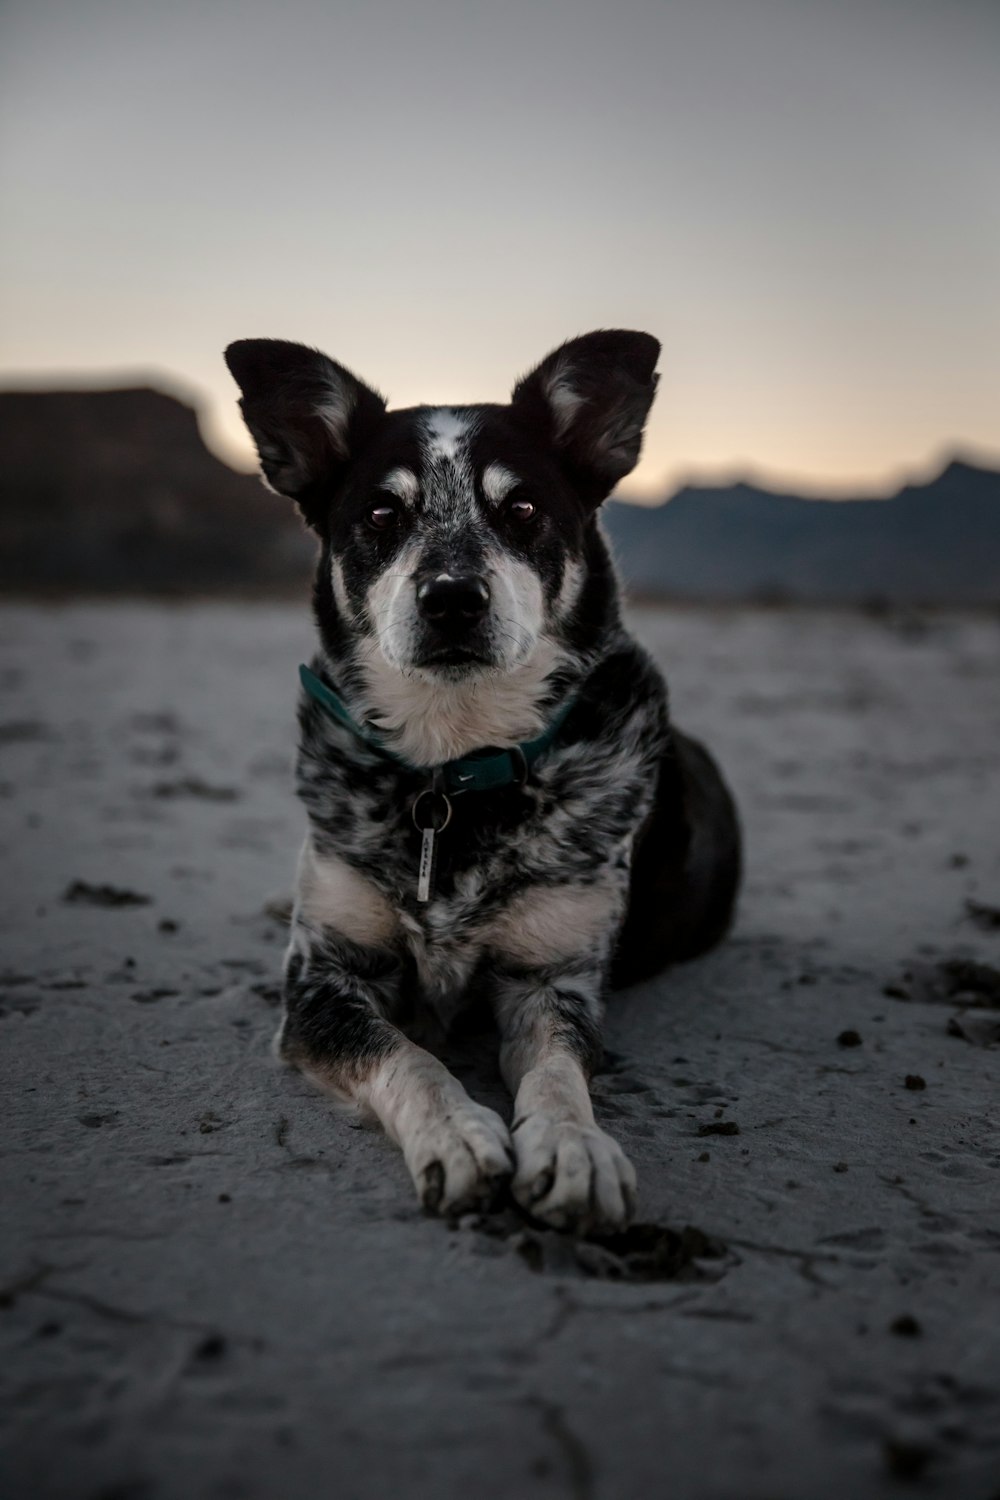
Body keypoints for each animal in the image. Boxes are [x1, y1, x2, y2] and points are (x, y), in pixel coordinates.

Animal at [226, 334, 743, 1236]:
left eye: (523, 510)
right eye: (382, 515)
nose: (453, 600)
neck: (452, 772)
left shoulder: (552, 979)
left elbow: (558, 1073)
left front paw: (574, 1150)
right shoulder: (324, 979)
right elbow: (406, 1055)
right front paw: (459, 1136)